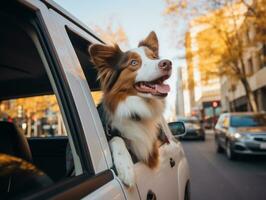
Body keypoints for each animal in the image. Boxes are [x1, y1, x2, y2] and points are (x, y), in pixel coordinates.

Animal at [89, 31, 172, 188]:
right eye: (134, 63)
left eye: (154, 57)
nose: (167, 63)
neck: (135, 111)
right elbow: (117, 138)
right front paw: (126, 168)